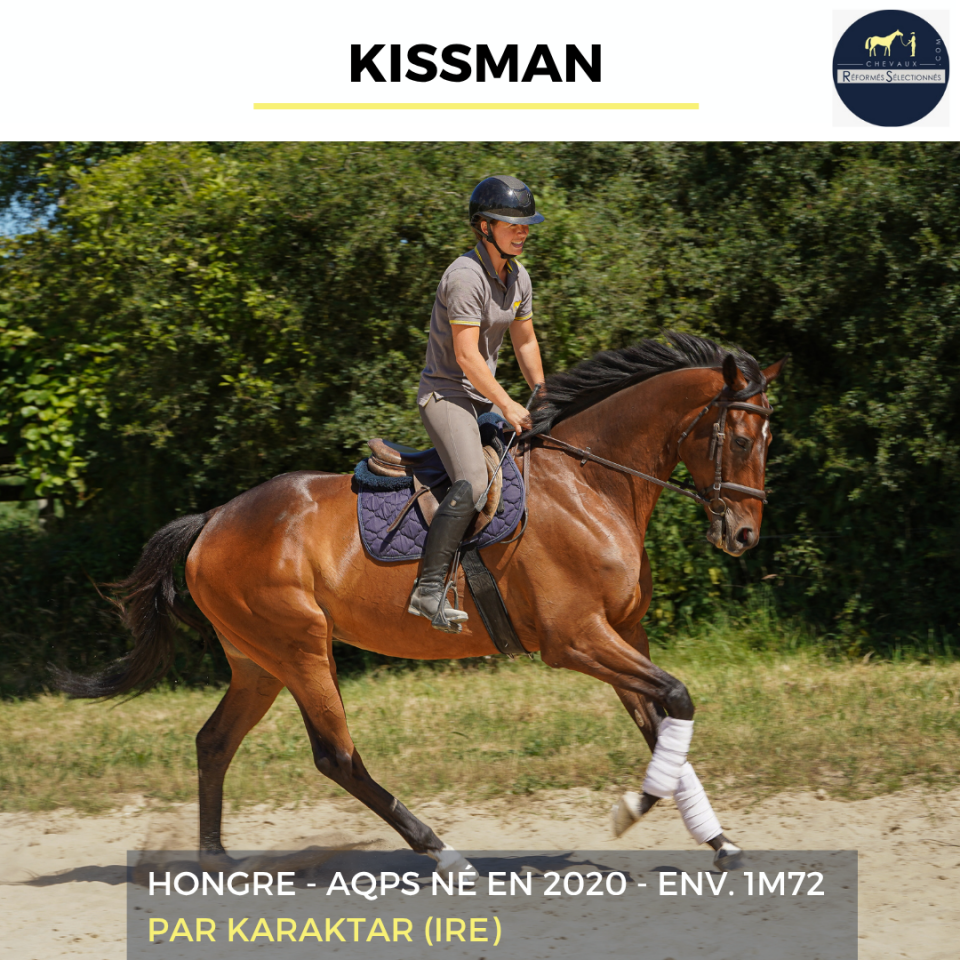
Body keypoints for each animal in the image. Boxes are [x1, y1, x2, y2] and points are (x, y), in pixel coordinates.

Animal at [57, 333, 784, 877]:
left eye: (767, 441)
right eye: (740, 439)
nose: (744, 536)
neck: (590, 482)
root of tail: (213, 521)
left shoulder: (625, 635)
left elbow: (663, 723)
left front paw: (717, 840)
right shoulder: (576, 639)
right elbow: (677, 701)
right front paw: (632, 808)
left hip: (257, 661)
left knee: (214, 742)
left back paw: (215, 862)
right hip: (300, 648)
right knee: (336, 756)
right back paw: (440, 850)